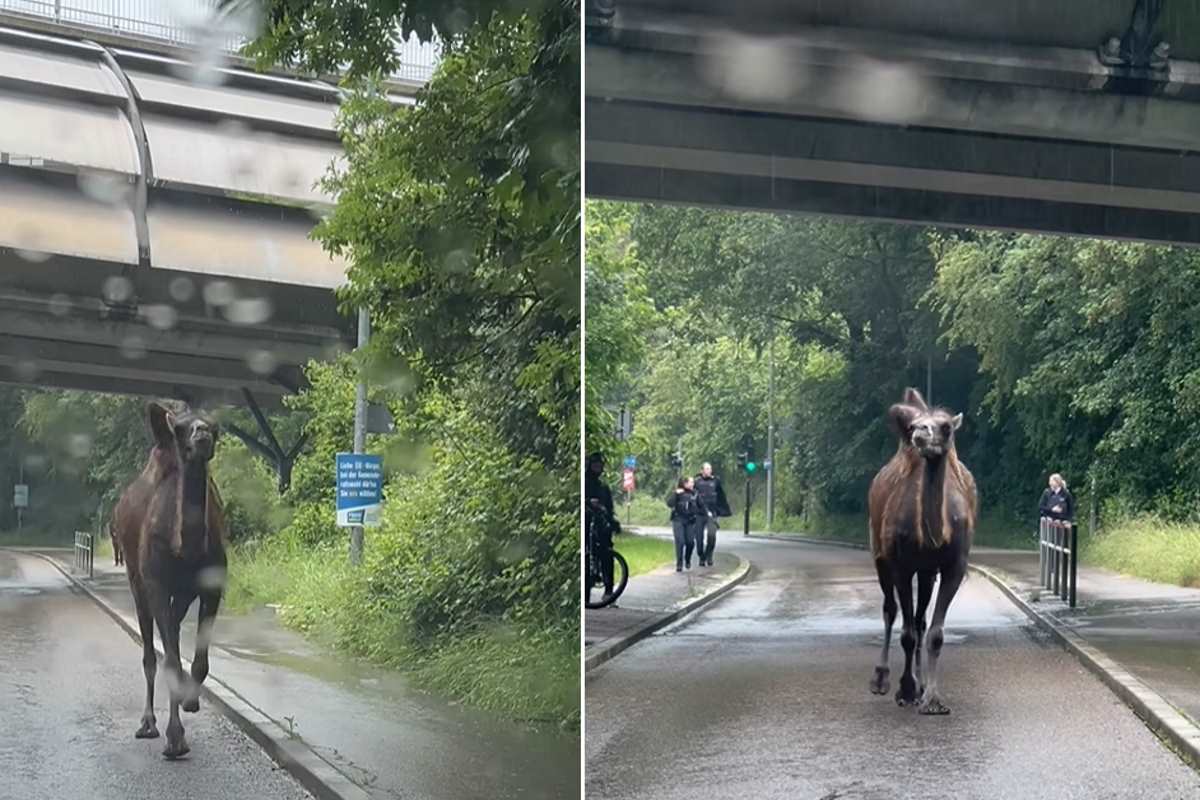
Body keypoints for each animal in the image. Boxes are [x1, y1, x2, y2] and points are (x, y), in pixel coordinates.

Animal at [112, 402, 226, 762]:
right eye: (179, 429)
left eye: (216, 427)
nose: (201, 434)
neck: (184, 549)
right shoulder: (156, 585)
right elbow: (169, 658)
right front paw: (175, 740)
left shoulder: (212, 585)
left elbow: (198, 661)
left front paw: (190, 702)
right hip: (137, 583)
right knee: (152, 652)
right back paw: (148, 724)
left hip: (180, 594)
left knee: (172, 633)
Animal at [868, 386, 979, 714]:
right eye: (915, 426)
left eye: (946, 427)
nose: (919, 432)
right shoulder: (901, 566)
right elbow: (905, 632)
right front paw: (905, 689)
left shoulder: (953, 566)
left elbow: (935, 634)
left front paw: (931, 698)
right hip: (879, 555)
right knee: (891, 610)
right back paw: (881, 679)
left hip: (927, 572)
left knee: (919, 620)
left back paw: (919, 683)